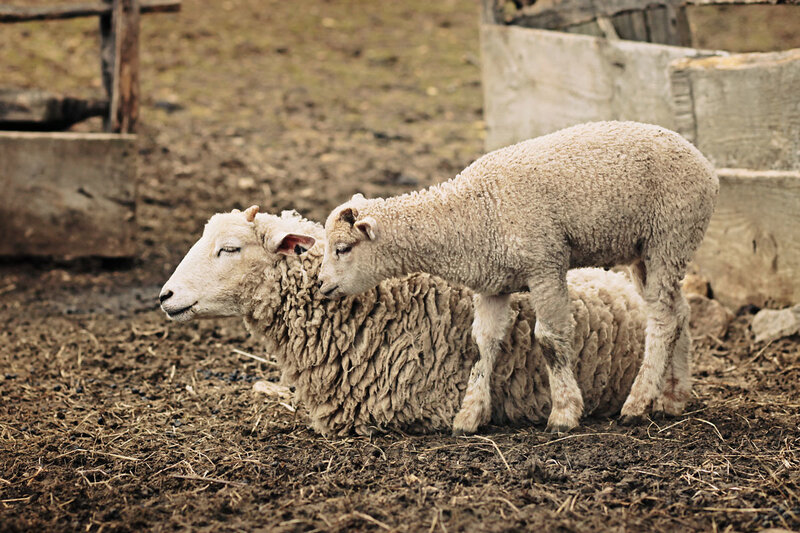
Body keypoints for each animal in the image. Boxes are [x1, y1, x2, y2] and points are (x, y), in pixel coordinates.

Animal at [318, 121, 718, 435]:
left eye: (342, 248)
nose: (322, 286)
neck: (469, 212)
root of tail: (705, 164)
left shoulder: (546, 265)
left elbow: (550, 340)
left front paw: (564, 413)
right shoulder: (492, 285)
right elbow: (482, 344)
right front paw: (469, 416)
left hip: (670, 234)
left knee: (663, 319)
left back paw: (637, 404)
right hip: (644, 251)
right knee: (677, 312)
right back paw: (672, 398)